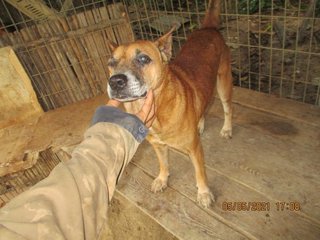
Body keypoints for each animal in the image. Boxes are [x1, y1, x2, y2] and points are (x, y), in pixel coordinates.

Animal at [107, 0, 232, 207]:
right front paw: (162, 179)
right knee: (204, 104)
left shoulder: (195, 150)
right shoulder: (158, 146)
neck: (160, 109)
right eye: (111, 63)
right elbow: (163, 163)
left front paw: (204, 192)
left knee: (227, 108)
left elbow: (200, 172)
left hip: (223, 82)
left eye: (143, 58)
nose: (115, 81)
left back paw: (227, 129)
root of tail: (208, 28)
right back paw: (199, 123)